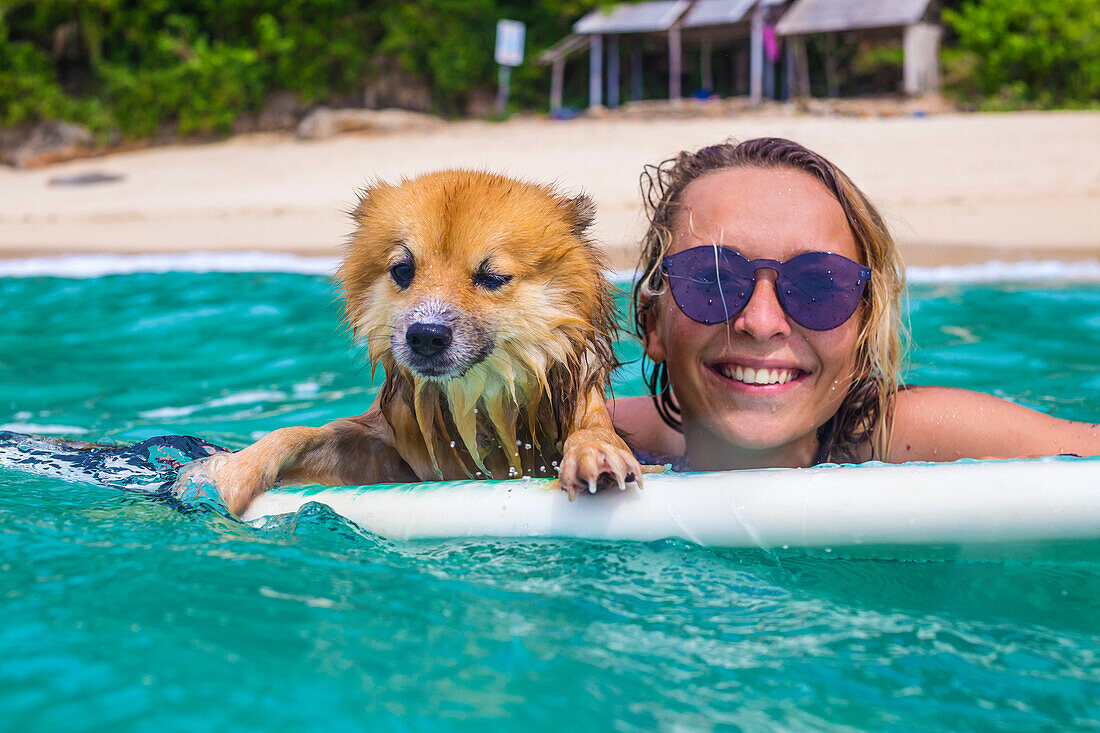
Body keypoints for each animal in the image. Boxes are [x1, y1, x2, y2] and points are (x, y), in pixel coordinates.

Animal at [184, 171, 642, 512]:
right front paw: (233, 470)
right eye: (403, 269)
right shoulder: (390, 447)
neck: (476, 406)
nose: (426, 335)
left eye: (492, 277)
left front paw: (594, 453)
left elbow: (593, 429)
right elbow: (298, 431)